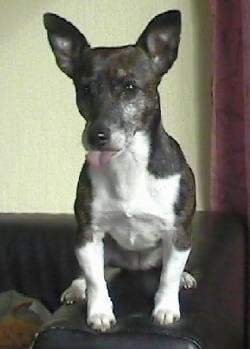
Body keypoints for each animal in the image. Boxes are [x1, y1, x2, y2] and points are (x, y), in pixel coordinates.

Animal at [44, 9, 196, 332]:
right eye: (85, 90)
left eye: (129, 87)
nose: (97, 135)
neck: (127, 163)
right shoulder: (87, 235)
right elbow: (95, 281)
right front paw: (99, 312)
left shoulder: (177, 233)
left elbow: (168, 276)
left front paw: (166, 308)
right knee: (91, 274)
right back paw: (76, 289)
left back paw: (185, 277)